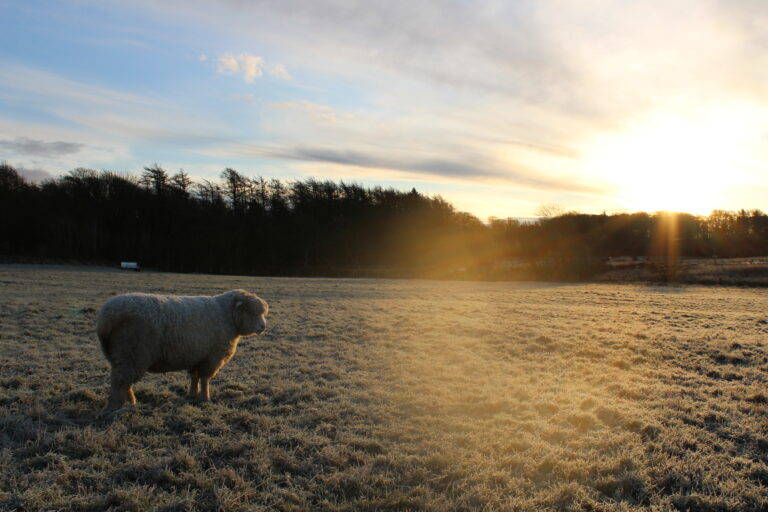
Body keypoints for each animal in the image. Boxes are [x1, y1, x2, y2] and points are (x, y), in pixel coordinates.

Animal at [97, 288, 268, 412]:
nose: (263, 327)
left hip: (120, 356)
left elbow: (194, 377)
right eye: (251, 312)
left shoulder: (195, 356)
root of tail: (106, 315)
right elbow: (205, 379)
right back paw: (113, 408)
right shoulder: (212, 358)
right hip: (131, 354)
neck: (227, 316)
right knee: (120, 381)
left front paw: (192, 394)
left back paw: (131, 401)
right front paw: (205, 398)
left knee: (124, 382)